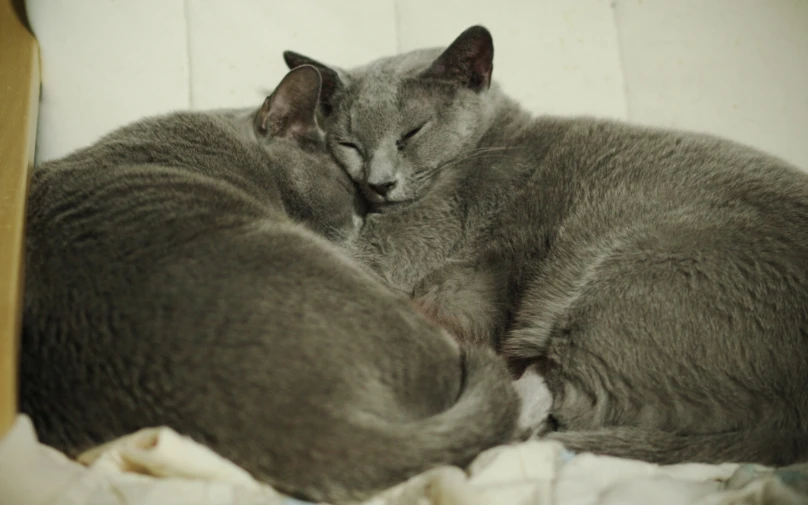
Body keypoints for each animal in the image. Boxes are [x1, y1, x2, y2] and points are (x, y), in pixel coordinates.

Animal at [284, 24, 808, 464]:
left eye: (412, 133)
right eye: (348, 143)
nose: (379, 183)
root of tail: (789, 426)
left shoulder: (409, 244)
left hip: (626, 271)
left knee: (566, 401)